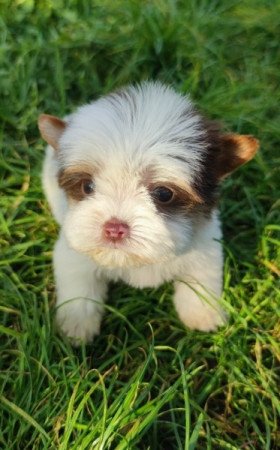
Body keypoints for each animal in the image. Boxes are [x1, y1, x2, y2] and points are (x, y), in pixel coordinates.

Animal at [38, 82, 260, 344]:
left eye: (163, 193)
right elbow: (78, 286)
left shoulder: (205, 244)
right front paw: (76, 325)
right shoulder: (75, 251)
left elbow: (201, 277)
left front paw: (202, 313)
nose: (114, 228)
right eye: (87, 186)